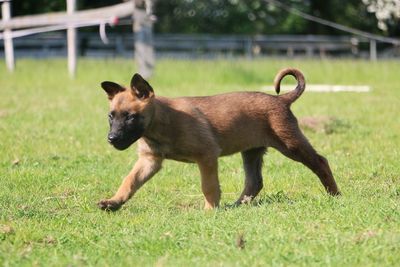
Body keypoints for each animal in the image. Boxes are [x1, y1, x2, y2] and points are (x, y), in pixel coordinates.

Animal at [98, 68, 340, 211]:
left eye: (130, 117)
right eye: (111, 116)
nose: (112, 139)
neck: (162, 123)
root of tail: (280, 99)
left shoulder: (206, 156)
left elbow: (209, 186)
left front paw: (210, 210)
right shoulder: (150, 160)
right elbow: (129, 181)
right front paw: (114, 202)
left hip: (291, 144)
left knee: (321, 162)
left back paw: (334, 195)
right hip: (251, 151)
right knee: (254, 181)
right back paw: (238, 205)